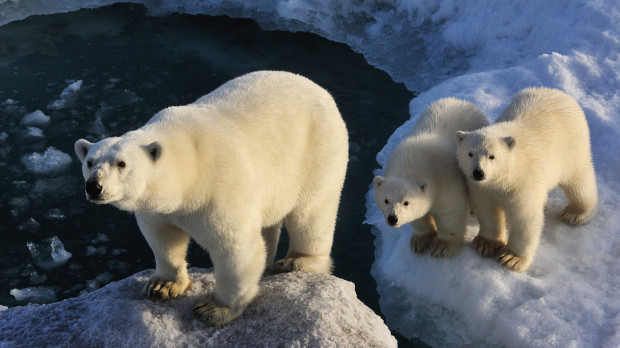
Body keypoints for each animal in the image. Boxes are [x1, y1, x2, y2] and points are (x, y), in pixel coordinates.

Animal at [74, 70, 348, 326]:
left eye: (121, 163)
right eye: (90, 162)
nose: (94, 186)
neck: (189, 163)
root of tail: (318, 89)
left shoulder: (221, 189)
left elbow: (236, 248)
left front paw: (214, 309)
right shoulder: (159, 209)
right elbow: (163, 237)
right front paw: (162, 285)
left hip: (318, 153)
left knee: (310, 215)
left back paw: (296, 262)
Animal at [458, 87, 600, 272]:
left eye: (492, 156)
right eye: (470, 153)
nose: (478, 173)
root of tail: (559, 93)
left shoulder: (523, 182)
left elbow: (525, 216)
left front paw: (511, 258)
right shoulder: (481, 188)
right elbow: (487, 209)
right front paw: (486, 244)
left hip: (572, 147)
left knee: (579, 180)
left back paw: (575, 213)